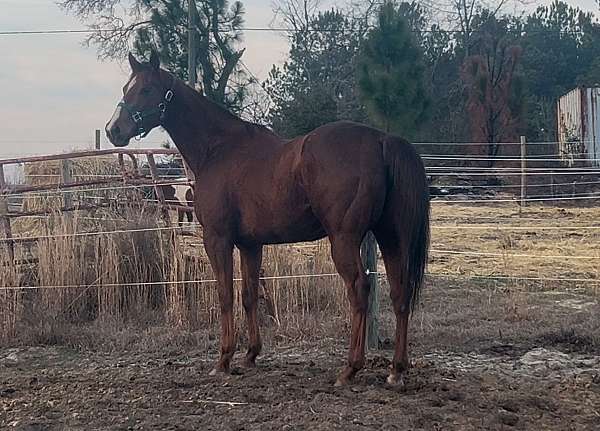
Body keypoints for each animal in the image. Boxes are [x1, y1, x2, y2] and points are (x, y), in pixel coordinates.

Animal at [104, 51, 432, 388]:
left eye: (145, 89)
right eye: (126, 88)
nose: (113, 130)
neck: (219, 149)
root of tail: (381, 139)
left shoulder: (217, 239)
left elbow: (226, 295)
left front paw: (223, 360)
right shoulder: (251, 244)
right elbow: (249, 295)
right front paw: (250, 354)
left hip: (344, 239)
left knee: (359, 290)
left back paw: (350, 368)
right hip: (390, 236)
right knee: (400, 293)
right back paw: (396, 370)